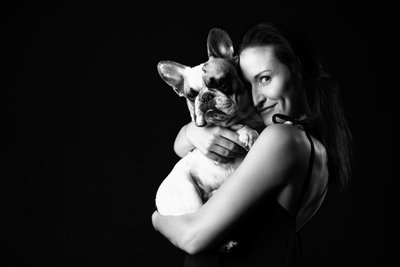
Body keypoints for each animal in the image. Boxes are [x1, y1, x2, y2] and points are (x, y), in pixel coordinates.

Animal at [154, 27, 262, 218]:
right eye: (191, 95)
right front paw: (248, 132)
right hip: (187, 193)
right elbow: (236, 124)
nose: (205, 97)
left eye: (220, 82)